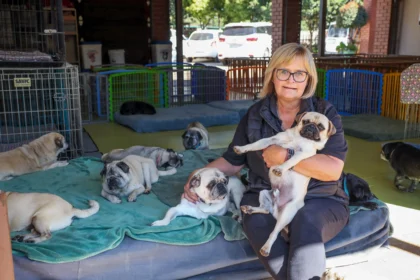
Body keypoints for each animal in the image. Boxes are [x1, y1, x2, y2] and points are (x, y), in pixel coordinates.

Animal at [233, 111, 334, 256]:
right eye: (305, 121)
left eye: (320, 127)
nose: (311, 127)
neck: (300, 138)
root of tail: (277, 209)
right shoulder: (271, 140)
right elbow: (255, 144)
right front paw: (241, 149)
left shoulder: (302, 154)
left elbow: (290, 160)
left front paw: (280, 169)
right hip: (264, 193)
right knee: (265, 209)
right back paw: (250, 209)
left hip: (286, 213)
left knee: (274, 232)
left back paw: (266, 247)